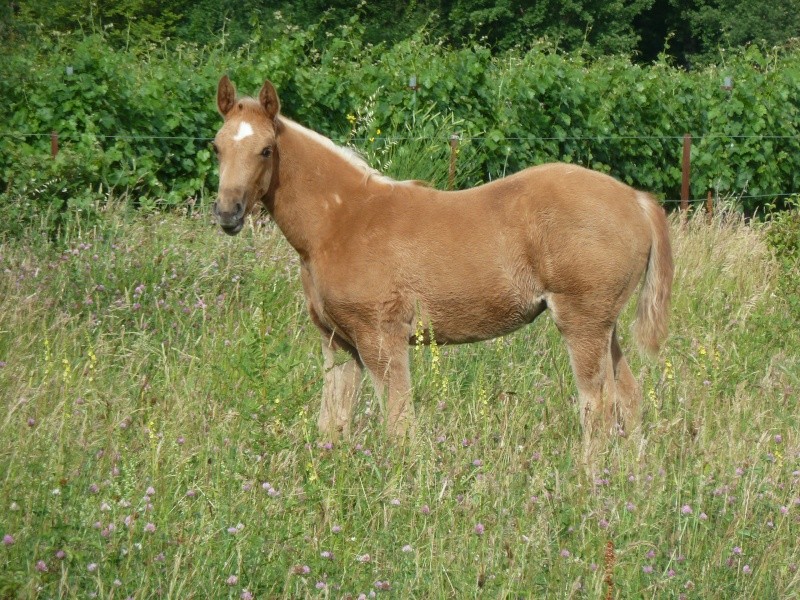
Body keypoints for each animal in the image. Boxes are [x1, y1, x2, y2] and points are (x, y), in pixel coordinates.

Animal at [209, 75, 672, 460]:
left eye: (266, 149)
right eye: (217, 146)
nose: (228, 213)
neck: (340, 221)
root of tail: (636, 200)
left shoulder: (382, 338)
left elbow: (399, 424)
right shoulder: (338, 343)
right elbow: (332, 423)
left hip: (583, 323)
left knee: (599, 406)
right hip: (604, 326)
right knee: (629, 399)